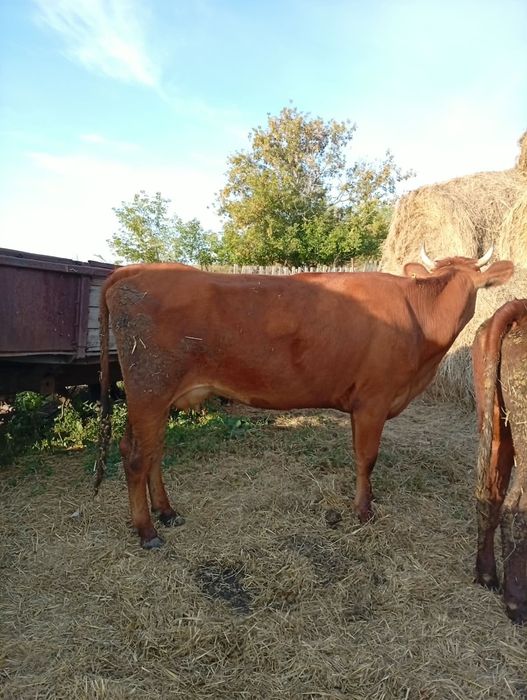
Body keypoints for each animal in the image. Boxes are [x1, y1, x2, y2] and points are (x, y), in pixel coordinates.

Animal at [95, 245, 513, 549]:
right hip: (150, 390)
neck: (418, 317)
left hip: (153, 397)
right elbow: (367, 458)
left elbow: (359, 456)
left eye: (475, 285)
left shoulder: (359, 403)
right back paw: (148, 532)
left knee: (149, 451)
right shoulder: (374, 400)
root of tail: (133, 270)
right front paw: (364, 511)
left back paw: (167, 512)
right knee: (138, 457)